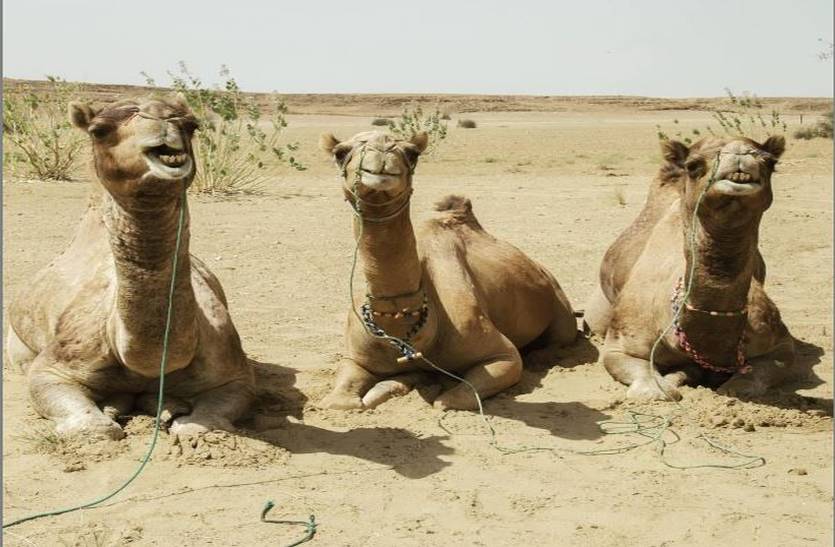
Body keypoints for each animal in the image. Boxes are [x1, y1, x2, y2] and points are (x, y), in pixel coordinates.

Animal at [6, 96, 254, 440]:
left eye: (192, 125)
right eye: (98, 130)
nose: (162, 116)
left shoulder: (233, 370)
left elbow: (200, 424)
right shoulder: (54, 365)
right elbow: (93, 427)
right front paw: (102, 422)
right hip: (15, 345)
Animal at [318, 130, 577, 410]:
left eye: (412, 153)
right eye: (340, 152)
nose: (382, 149)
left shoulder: (504, 355)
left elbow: (449, 399)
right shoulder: (354, 357)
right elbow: (341, 401)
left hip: (561, 305)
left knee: (560, 338)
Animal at [584, 135, 798, 400]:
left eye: (770, 162)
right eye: (693, 165)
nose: (739, 153)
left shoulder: (778, 340)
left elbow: (750, 380)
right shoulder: (621, 344)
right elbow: (651, 386)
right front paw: (668, 385)